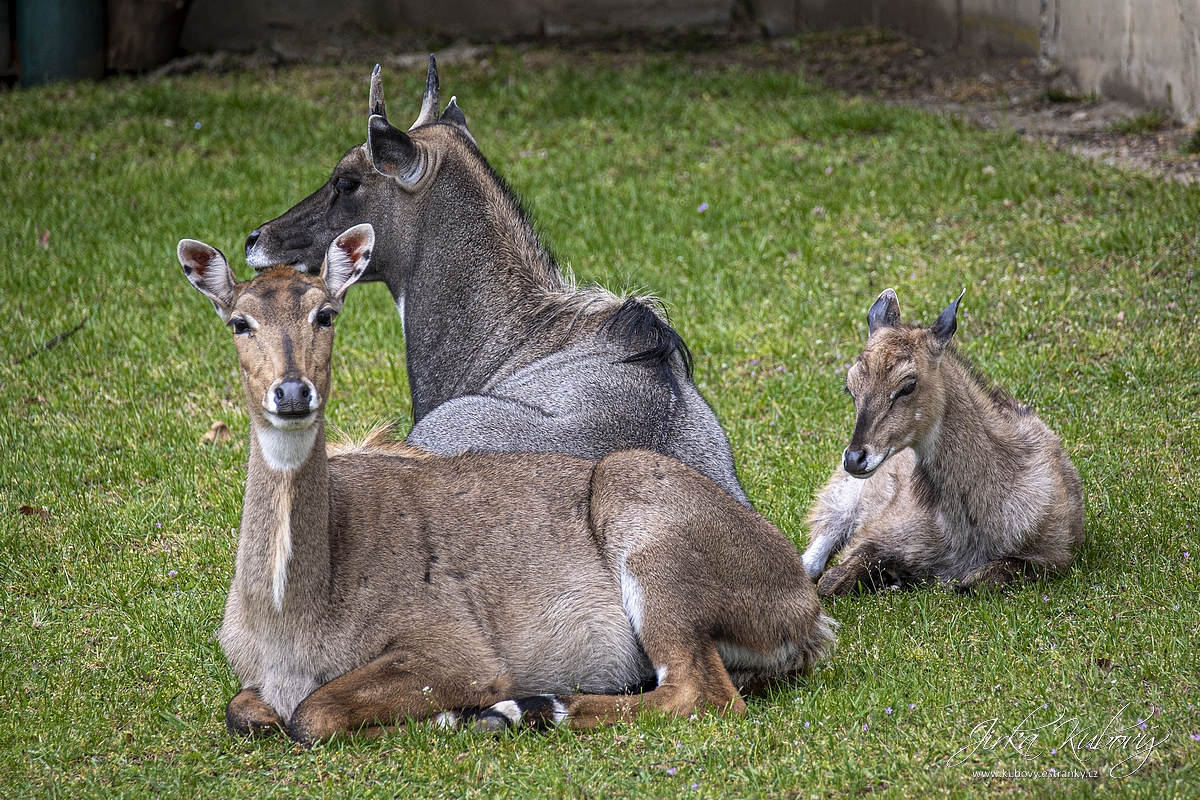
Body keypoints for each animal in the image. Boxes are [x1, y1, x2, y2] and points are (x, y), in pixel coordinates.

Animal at [177, 224, 835, 743]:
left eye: (326, 312)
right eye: (239, 321)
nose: (292, 391)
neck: (289, 614)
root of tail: (806, 609)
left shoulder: (456, 651)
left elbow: (312, 715)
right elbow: (243, 711)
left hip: (654, 550)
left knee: (702, 694)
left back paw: (521, 708)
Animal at [801, 287, 1084, 594]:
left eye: (908, 385)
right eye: (850, 387)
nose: (854, 458)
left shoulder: (1056, 552)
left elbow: (982, 578)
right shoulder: (877, 530)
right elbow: (831, 580)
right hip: (840, 496)